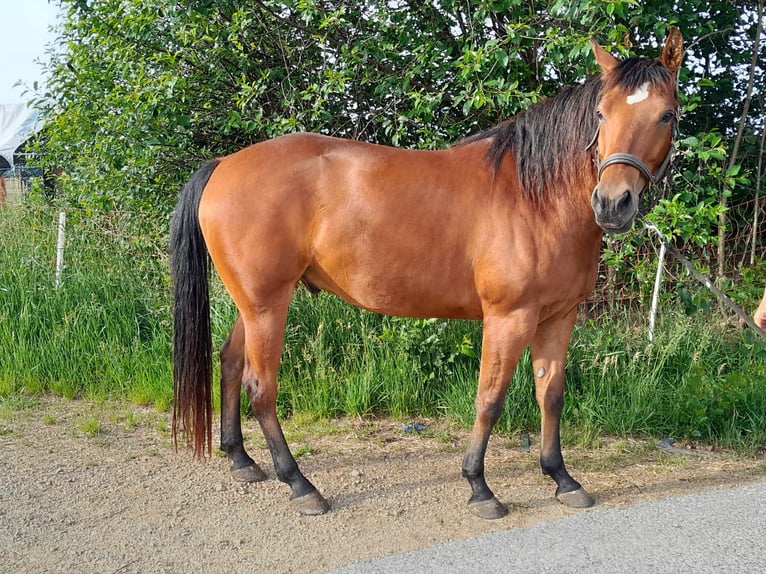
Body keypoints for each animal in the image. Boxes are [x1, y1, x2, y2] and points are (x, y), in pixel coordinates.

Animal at [170, 28, 683, 519]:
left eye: (667, 116)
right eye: (600, 114)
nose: (612, 203)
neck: (536, 196)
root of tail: (224, 165)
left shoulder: (559, 317)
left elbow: (550, 395)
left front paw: (562, 479)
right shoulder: (509, 318)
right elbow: (490, 398)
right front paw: (479, 487)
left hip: (255, 303)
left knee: (230, 362)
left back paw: (241, 460)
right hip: (267, 304)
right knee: (261, 387)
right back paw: (301, 485)